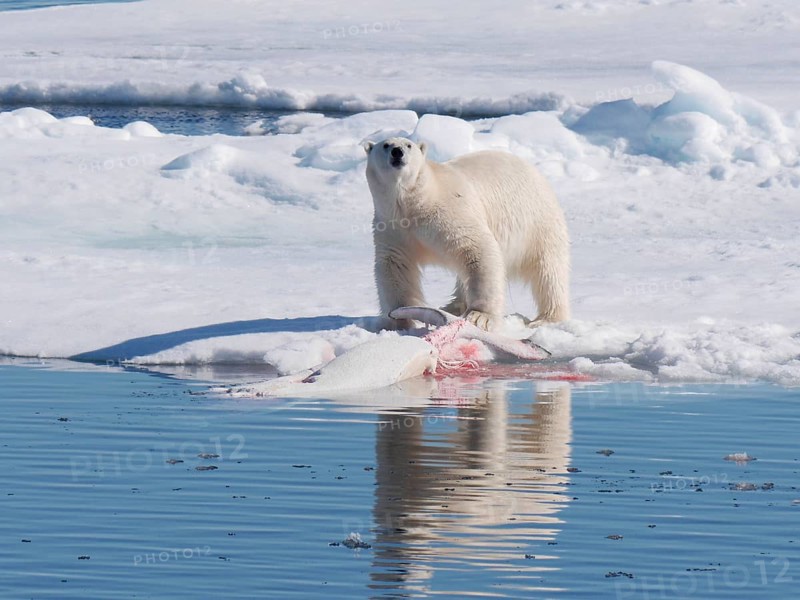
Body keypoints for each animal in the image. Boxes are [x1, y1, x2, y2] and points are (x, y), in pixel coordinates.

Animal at [364, 136, 570, 332]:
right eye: (386, 145)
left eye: (408, 145)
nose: (397, 152)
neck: (414, 202)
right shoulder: (392, 225)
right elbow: (394, 264)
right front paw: (398, 319)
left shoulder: (449, 212)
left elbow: (477, 248)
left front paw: (480, 317)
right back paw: (452, 306)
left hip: (538, 223)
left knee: (548, 272)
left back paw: (547, 318)